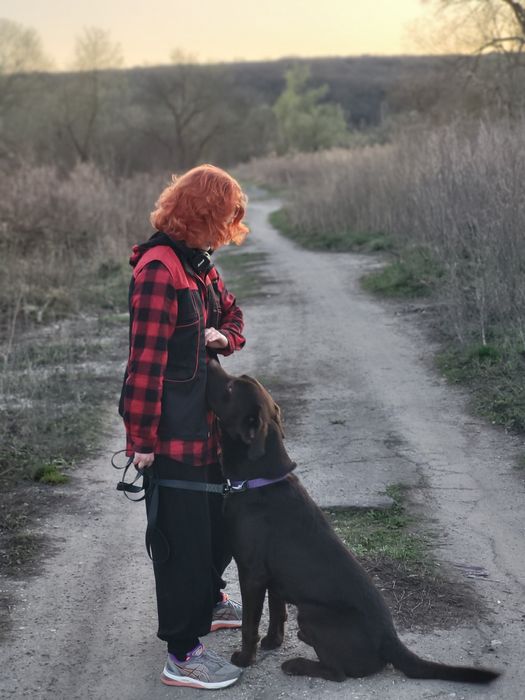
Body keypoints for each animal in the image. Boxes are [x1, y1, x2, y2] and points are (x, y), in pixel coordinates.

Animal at [206, 359, 500, 684]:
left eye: (230, 388)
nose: (209, 360)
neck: (260, 479)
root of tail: (390, 639)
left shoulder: (252, 573)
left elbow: (250, 625)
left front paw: (245, 659)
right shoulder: (272, 577)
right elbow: (277, 612)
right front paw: (272, 642)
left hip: (312, 614)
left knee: (338, 673)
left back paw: (297, 664)